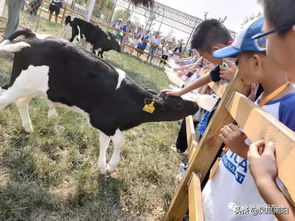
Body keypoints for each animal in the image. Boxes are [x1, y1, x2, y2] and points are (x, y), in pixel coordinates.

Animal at [0, 28, 199, 174]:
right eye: (179, 104)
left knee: (21, 102)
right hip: (20, 85)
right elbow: (119, 142)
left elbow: (104, 142)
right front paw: (111, 166)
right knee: (4, 99)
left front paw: (102, 167)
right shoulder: (102, 120)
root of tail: (35, 36)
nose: (196, 105)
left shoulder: (108, 125)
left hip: (35, 88)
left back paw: (28, 127)